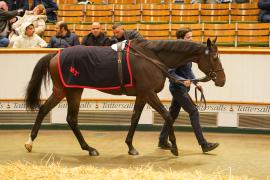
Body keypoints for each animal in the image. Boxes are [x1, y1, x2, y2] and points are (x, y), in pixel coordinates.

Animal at [24, 39, 226, 156]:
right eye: (215, 57)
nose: (222, 80)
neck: (152, 57)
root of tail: (56, 54)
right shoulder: (149, 93)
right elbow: (167, 116)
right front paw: (174, 147)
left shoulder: (142, 95)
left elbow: (135, 118)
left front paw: (130, 147)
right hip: (67, 90)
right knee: (57, 114)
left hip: (70, 91)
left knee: (62, 116)